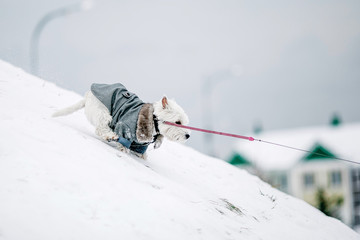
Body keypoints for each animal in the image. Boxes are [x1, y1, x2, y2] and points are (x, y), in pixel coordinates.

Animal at [52, 83, 191, 159]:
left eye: (185, 123)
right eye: (178, 122)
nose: (188, 135)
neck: (153, 120)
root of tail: (88, 95)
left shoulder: (141, 144)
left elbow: (140, 150)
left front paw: (142, 156)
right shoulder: (125, 127)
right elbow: (124, 141)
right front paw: (123, 149)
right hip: (103, 112)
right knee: (101, 128)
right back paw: (111, 136)